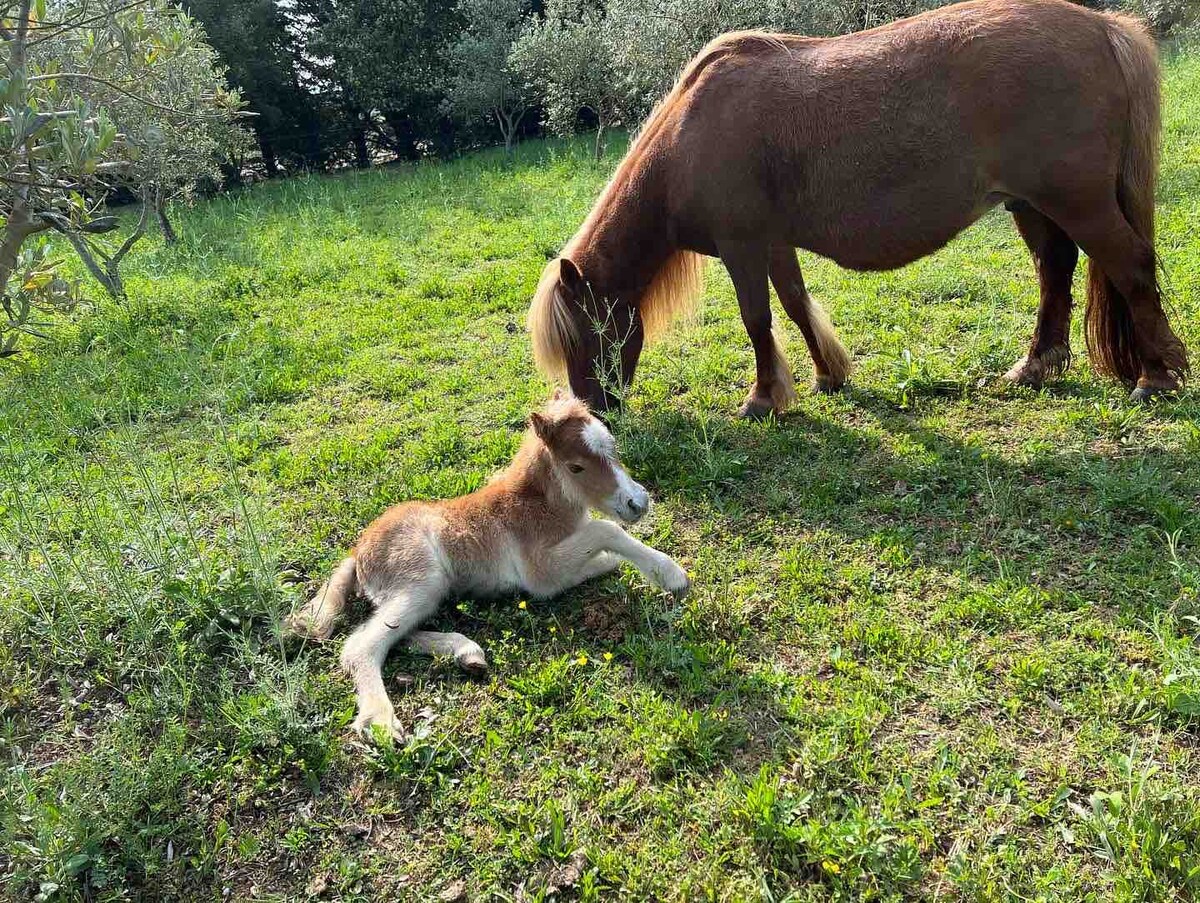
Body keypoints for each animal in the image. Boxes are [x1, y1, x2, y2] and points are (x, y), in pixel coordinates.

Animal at [284, 391, 691, 734]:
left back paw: (466, 653)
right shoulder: (540, 573)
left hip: (427, 592)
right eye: (576, 467)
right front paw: (670, 574)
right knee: (361, 644)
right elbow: (606, 530)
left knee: (395, 632)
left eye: (613, 446)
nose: (638, 503)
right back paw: (381, 723)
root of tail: (356, 552)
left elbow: (604, 556)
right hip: (421, 579)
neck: (536, 507)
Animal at [532, 0, 1190, 415]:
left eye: (586, 334)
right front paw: (828, 375)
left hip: (1077, 202)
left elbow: (757, 319)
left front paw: (764, 399)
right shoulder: (775, 243)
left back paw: (1156, 377)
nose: (595, 409)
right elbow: (795, 307)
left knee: (1131, 268)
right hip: (1031, 204)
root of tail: (1102, 27)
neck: (690, 139)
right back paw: (1034, 367)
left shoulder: (742, 247)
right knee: (1055, 272)